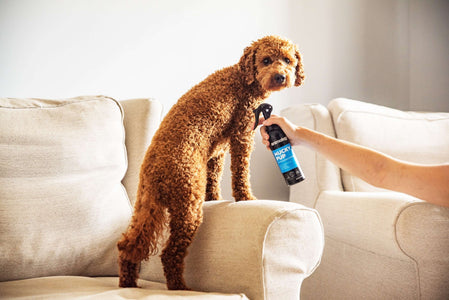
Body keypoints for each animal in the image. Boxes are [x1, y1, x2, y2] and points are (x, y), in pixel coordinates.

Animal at [116, 35, 304, 290]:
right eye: (266, 60)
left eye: (287, 60)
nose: (280, 77)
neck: (243, 79)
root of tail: (156, 171)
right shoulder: (242, 133)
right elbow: (240, 171)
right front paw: (245, 197)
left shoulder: (217, 152)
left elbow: (215, 177)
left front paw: (214, 198)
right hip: (188, 205)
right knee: (170, 253)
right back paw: (179, 288)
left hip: (146, 206)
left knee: (129, 245)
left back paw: (128, 282)